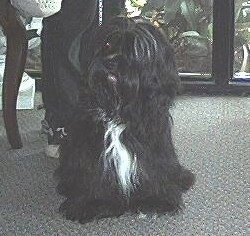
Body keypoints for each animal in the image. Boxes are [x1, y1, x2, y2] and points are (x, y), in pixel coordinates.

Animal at [55, 16, 195, 223]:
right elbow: (93, 174)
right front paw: (93, 203)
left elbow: (153, 171)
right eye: (107, 44)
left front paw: (154, 199)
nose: (111, 62)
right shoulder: (91, 148)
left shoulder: (153, 147)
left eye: (136, 51)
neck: (119, 109)